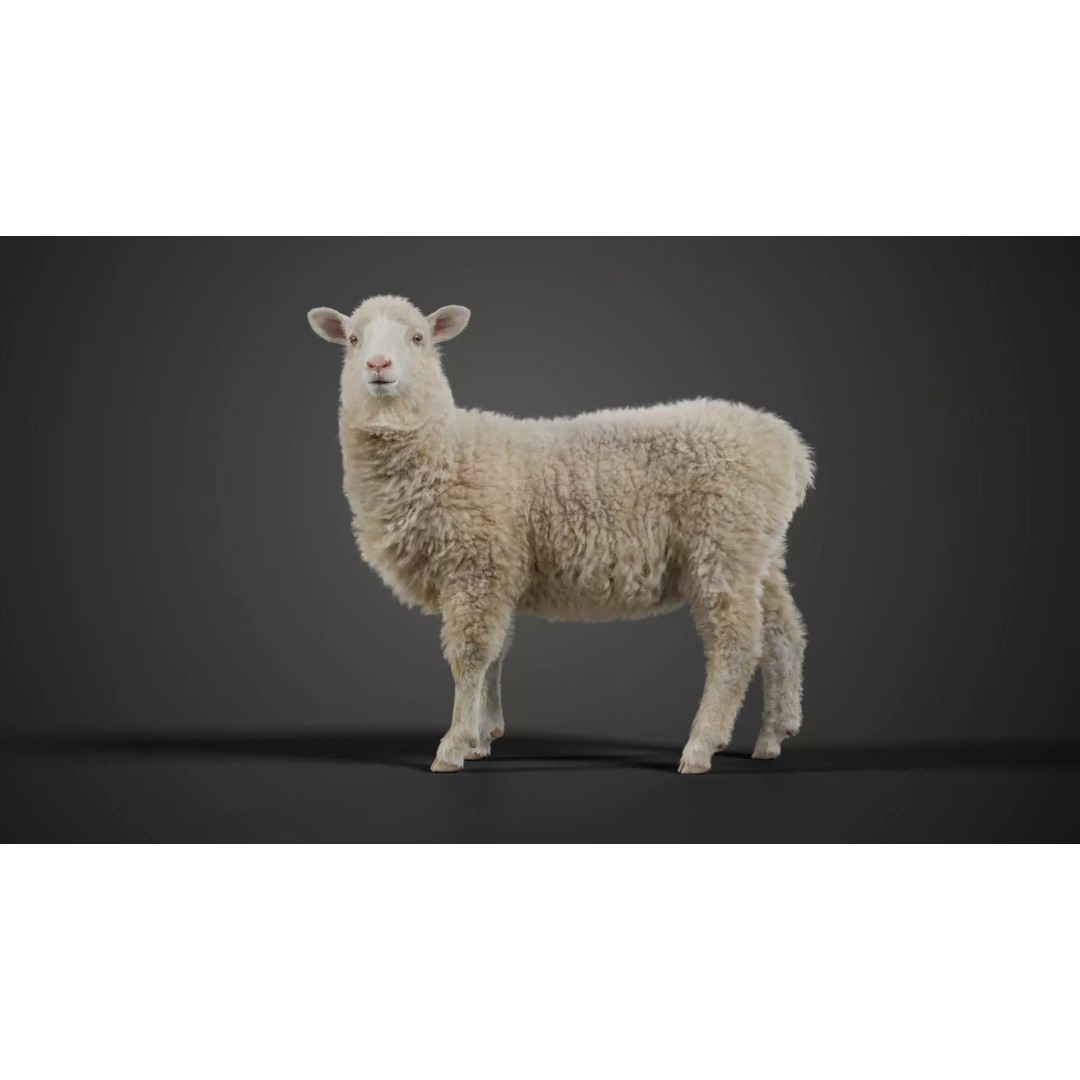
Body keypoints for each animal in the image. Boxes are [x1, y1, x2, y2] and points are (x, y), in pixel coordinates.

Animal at [307, 294, 813, 774]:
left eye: (417, 338)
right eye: (352, 340)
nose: (378, 366)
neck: (447, 452)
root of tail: (789, 447)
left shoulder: (477, 564)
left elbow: (471, 656)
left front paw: (453, 744)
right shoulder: (500, 572)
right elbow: (496, 653)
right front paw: (482, 737)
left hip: (722, 542)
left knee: (736, 645)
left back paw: (702, 745)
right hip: (761, 550)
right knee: (783, 634)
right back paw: (774, 734)